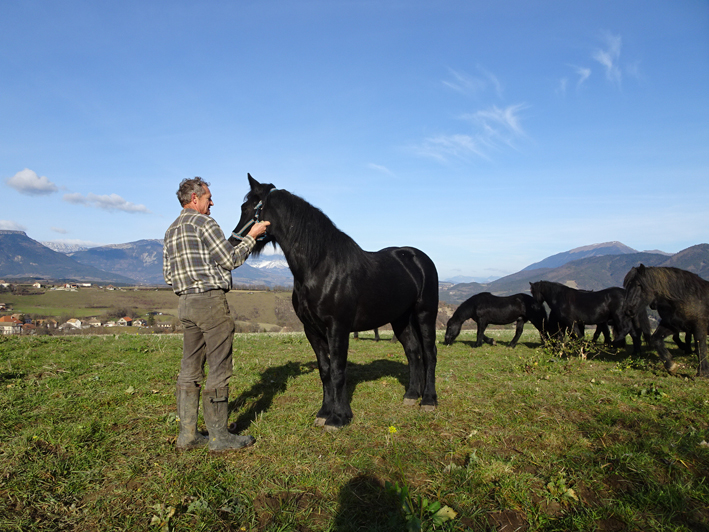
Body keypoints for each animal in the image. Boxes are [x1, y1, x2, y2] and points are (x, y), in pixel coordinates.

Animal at [230, 176, 436, 428]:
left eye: (247, 208)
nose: (231, 243)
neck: (321, 266)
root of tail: (418, 258)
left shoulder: (337, 328)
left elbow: (338, 370)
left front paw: (339, 417)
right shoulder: (312, 330)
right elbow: (325, 370)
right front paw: (324, 412)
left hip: (425, 314)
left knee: (429, 353)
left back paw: (429, 400)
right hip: (401, 319)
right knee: (413, 352)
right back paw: (411, 396)